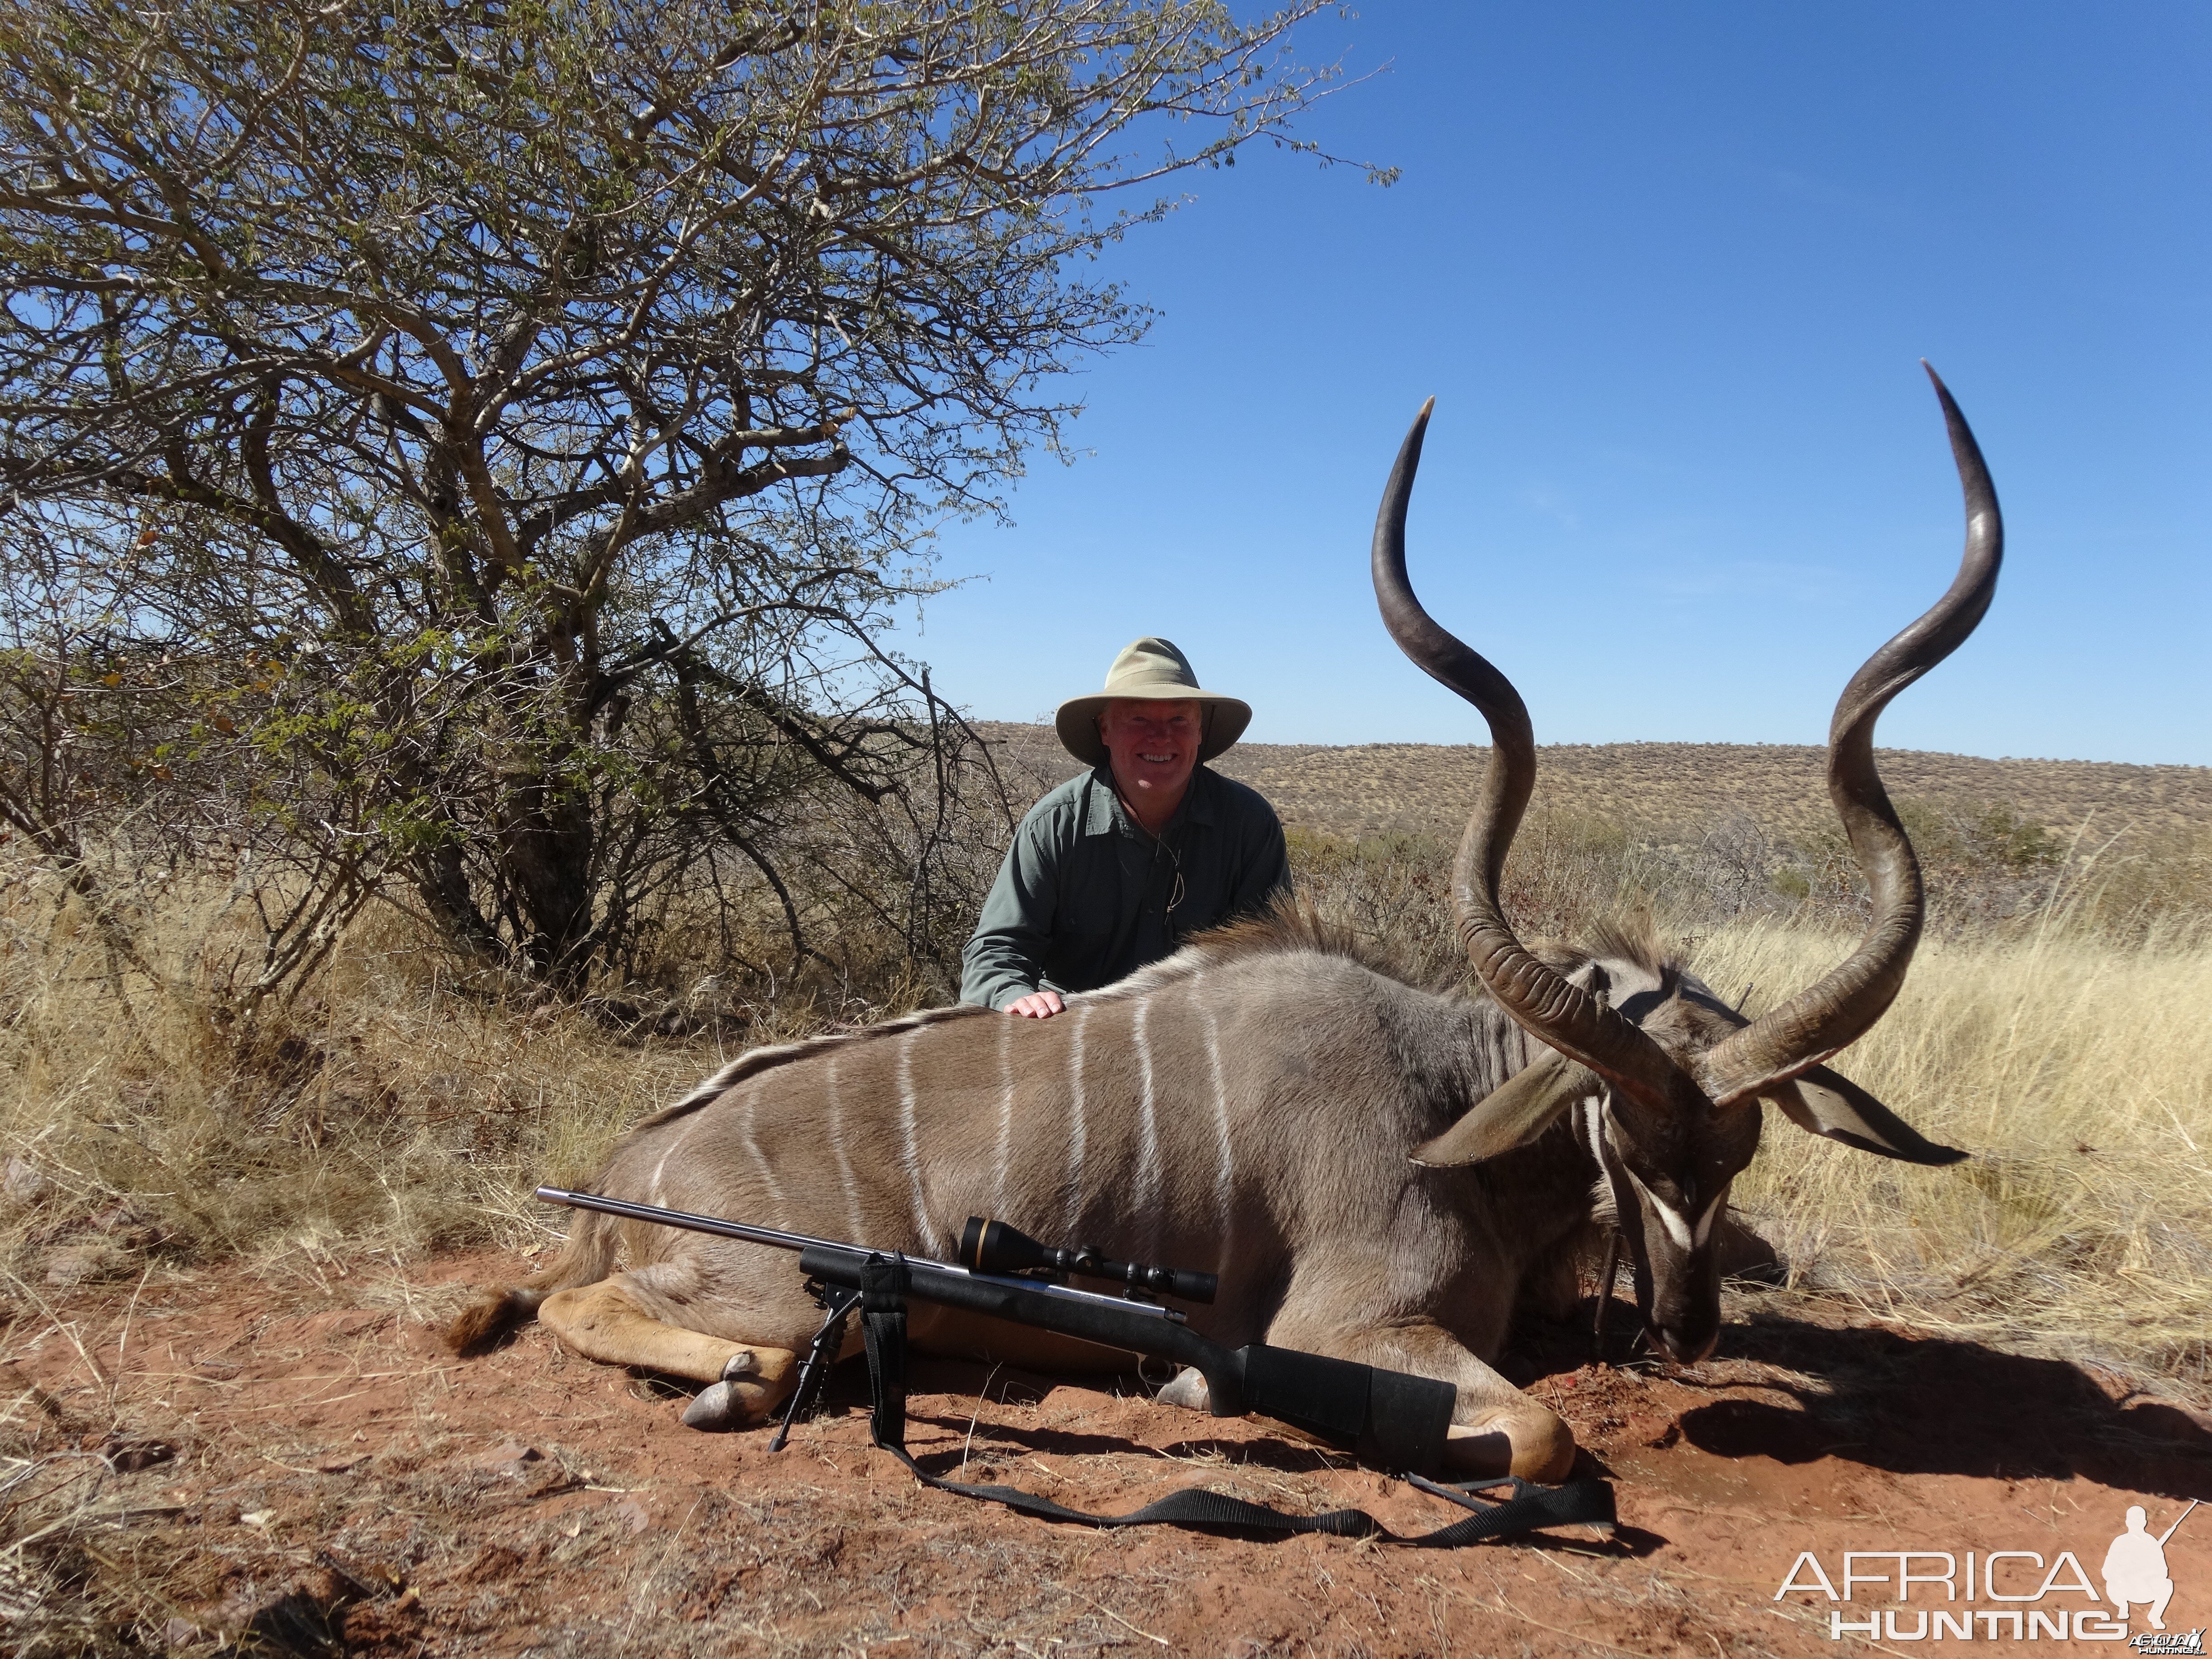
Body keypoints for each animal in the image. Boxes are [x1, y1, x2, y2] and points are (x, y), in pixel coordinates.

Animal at [445, 369, 1991, 1486]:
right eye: (1620, 1129)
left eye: (1741, 1148)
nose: (1686, 1326)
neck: (1449, 1091)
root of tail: (620, 1174)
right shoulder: (1350, 1324)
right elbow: (1542, 1432)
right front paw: (1201, 1378)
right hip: (762, 1293)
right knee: (627, 1319)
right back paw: (729, 1385)